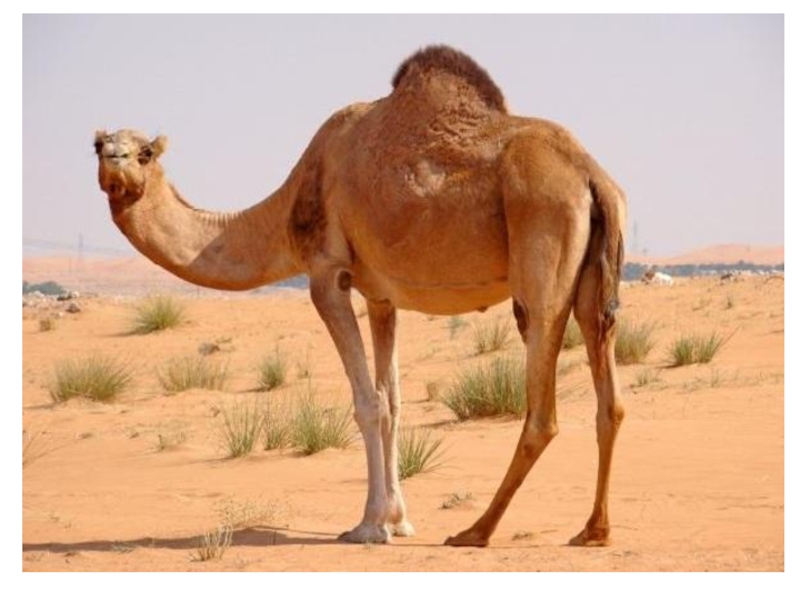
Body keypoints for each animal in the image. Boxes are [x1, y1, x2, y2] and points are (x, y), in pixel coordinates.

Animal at [95, 45, 627, 547]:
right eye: (97, 144)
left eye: (145, 152)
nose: (114, 161)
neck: (287, 207)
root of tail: (592, 176)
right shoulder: (380, 297)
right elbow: (393, 401)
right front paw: (399, 519)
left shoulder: (327, 275)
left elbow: (367, 401)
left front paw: (369, 525)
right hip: (593, 277)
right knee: (610, 398)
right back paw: (592, 530)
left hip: (542, 242)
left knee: (542, 408)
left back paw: (476, 531)